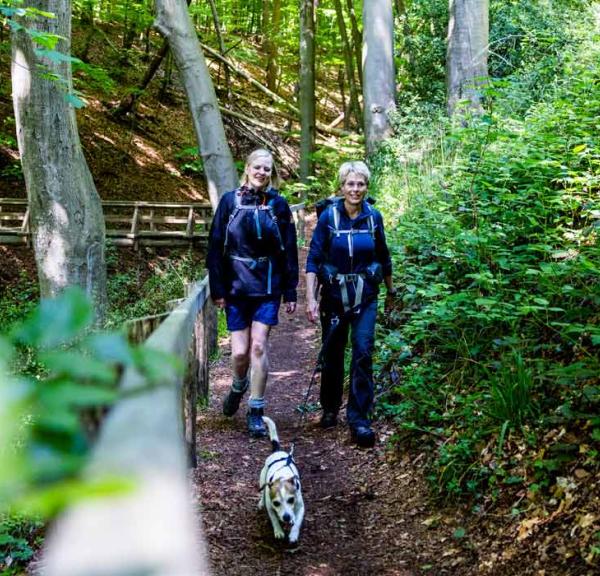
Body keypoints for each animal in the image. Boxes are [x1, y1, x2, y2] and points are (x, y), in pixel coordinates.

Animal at [258, 416, 304, 544]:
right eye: (276, 503)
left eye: (291, 500)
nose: (286, 517)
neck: (282, 477)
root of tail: (277, 451)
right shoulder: (270, 506)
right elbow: (274, 519)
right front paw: (278, 531)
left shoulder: (301, 507)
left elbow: (297, 523)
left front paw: (293, 534)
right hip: (262, 480)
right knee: (262, 492)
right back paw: (261, 502)